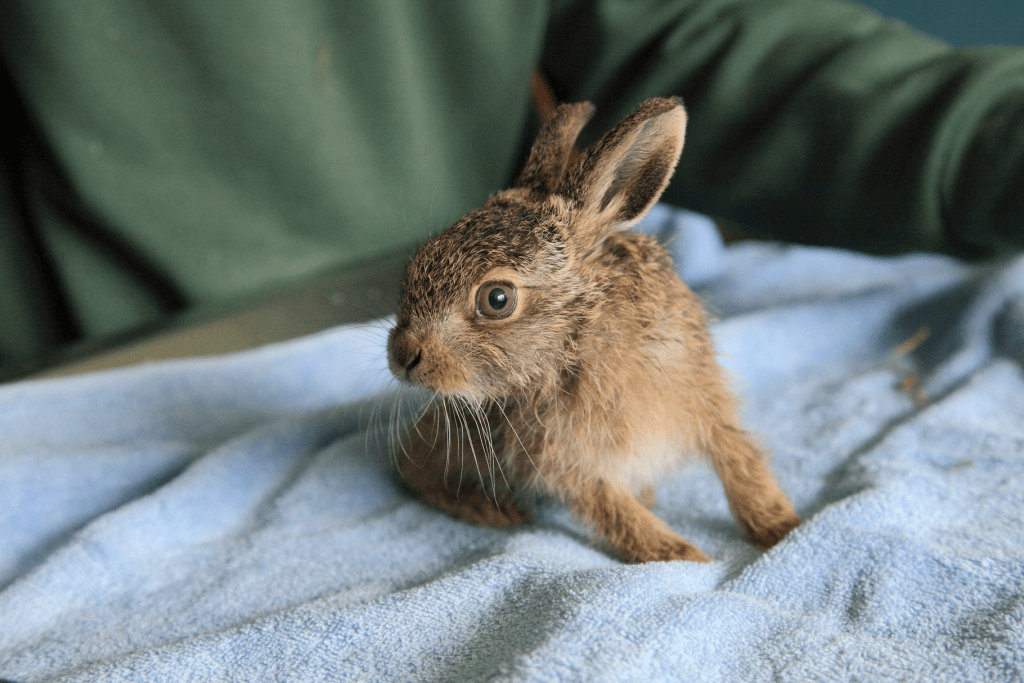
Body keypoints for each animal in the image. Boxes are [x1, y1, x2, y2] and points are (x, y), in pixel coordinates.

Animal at [387, 97, 800, 563]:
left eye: (497, 299)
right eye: (417, 263)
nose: (402, 355)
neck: (578, 336)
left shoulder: (699, 395)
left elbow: (738, 459)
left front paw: (780, 526)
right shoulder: (567, 458)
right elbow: (613, 509)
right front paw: (680, 554)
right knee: (412, 465)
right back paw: (492, 510)